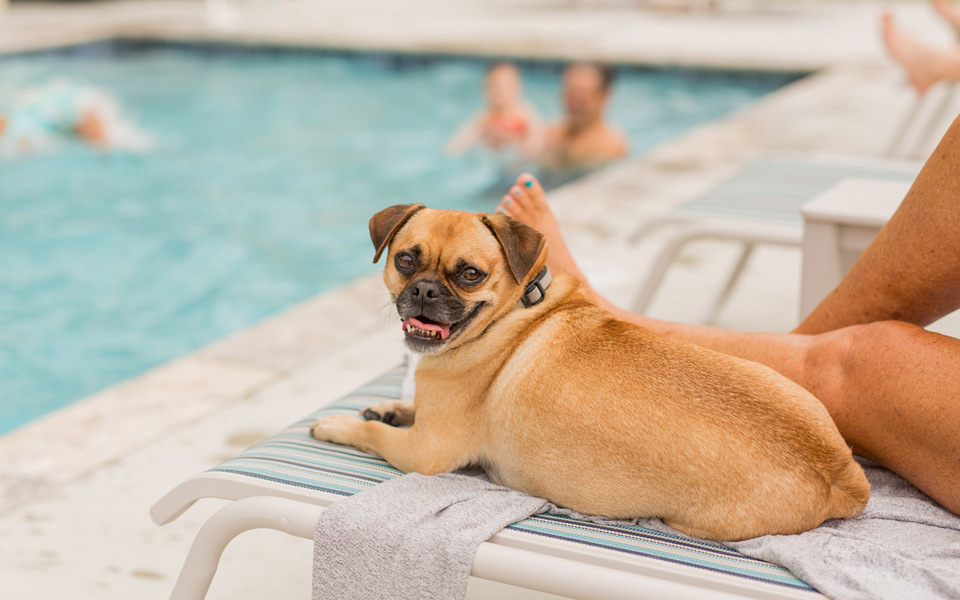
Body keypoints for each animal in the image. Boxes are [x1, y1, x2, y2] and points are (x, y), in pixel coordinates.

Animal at [310, 204, 872, 540]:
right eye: (406, 260)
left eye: (469, 274)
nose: (424, 290)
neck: (514, 313)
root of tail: (841, 471)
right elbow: (401, 409)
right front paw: (388, 405)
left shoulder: (424, 453)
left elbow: (371, 434)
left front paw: (338, 424)